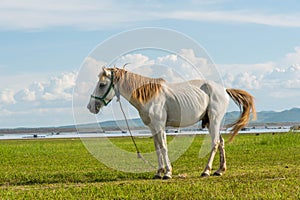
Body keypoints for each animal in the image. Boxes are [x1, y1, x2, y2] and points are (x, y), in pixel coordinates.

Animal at [86, 67, 255, 180]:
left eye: (102, 84)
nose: (90, 107)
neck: (149, 95)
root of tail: (224, 89)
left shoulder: (160, 126)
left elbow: (164, 147)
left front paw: (167, 172)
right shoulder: (153, 128)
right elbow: (157, 148)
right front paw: (159, 172)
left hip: (214, 120)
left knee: (214, 143)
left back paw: (206, 171)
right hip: (211, 123)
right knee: (221, 142)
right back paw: (220, 170)